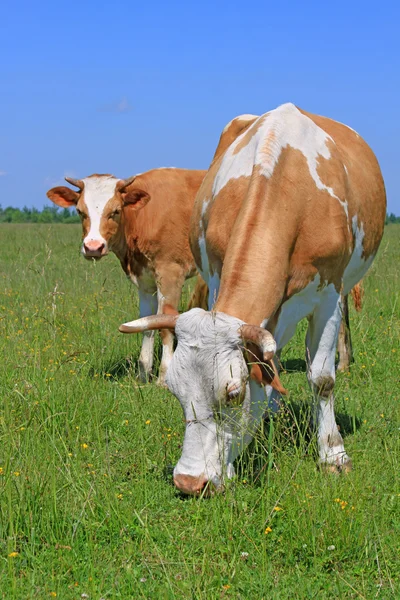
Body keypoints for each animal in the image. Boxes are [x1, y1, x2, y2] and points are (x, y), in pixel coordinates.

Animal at [46, 168, 206, 384]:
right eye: (80, 211)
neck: (143, 216)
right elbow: (147, 322)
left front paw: (164, 378)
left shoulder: (171, 273)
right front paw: (143, 375)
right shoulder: (145, 280)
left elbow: (165, 325)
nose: (93, 247)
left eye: (115, 211)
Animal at [119, 103, 388, 494]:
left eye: (232, 394)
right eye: (174, 391)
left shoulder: (328, 295)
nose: (189, 482)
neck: (290, 190)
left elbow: (322, 379)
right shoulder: (218, 281)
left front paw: (333, 455)